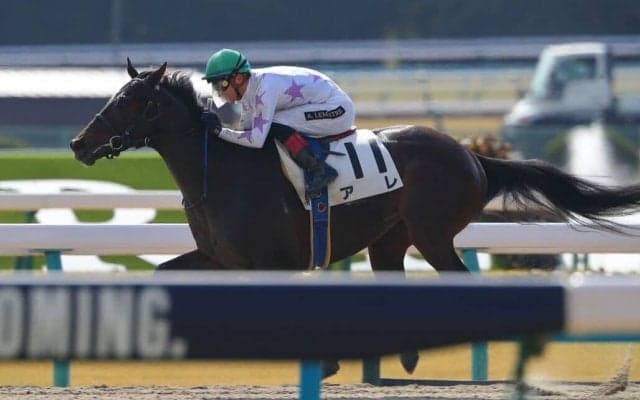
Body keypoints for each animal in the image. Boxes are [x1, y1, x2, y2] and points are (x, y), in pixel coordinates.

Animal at [70, 60, 640, 376]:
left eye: (127, 101)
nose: (78, 144)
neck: (221, 172)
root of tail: (473, 155)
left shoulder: (274, 261)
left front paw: (323, 362)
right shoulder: (216, 258)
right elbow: (163, 277)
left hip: (433, 234)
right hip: (389, 241)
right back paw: (405, 355)